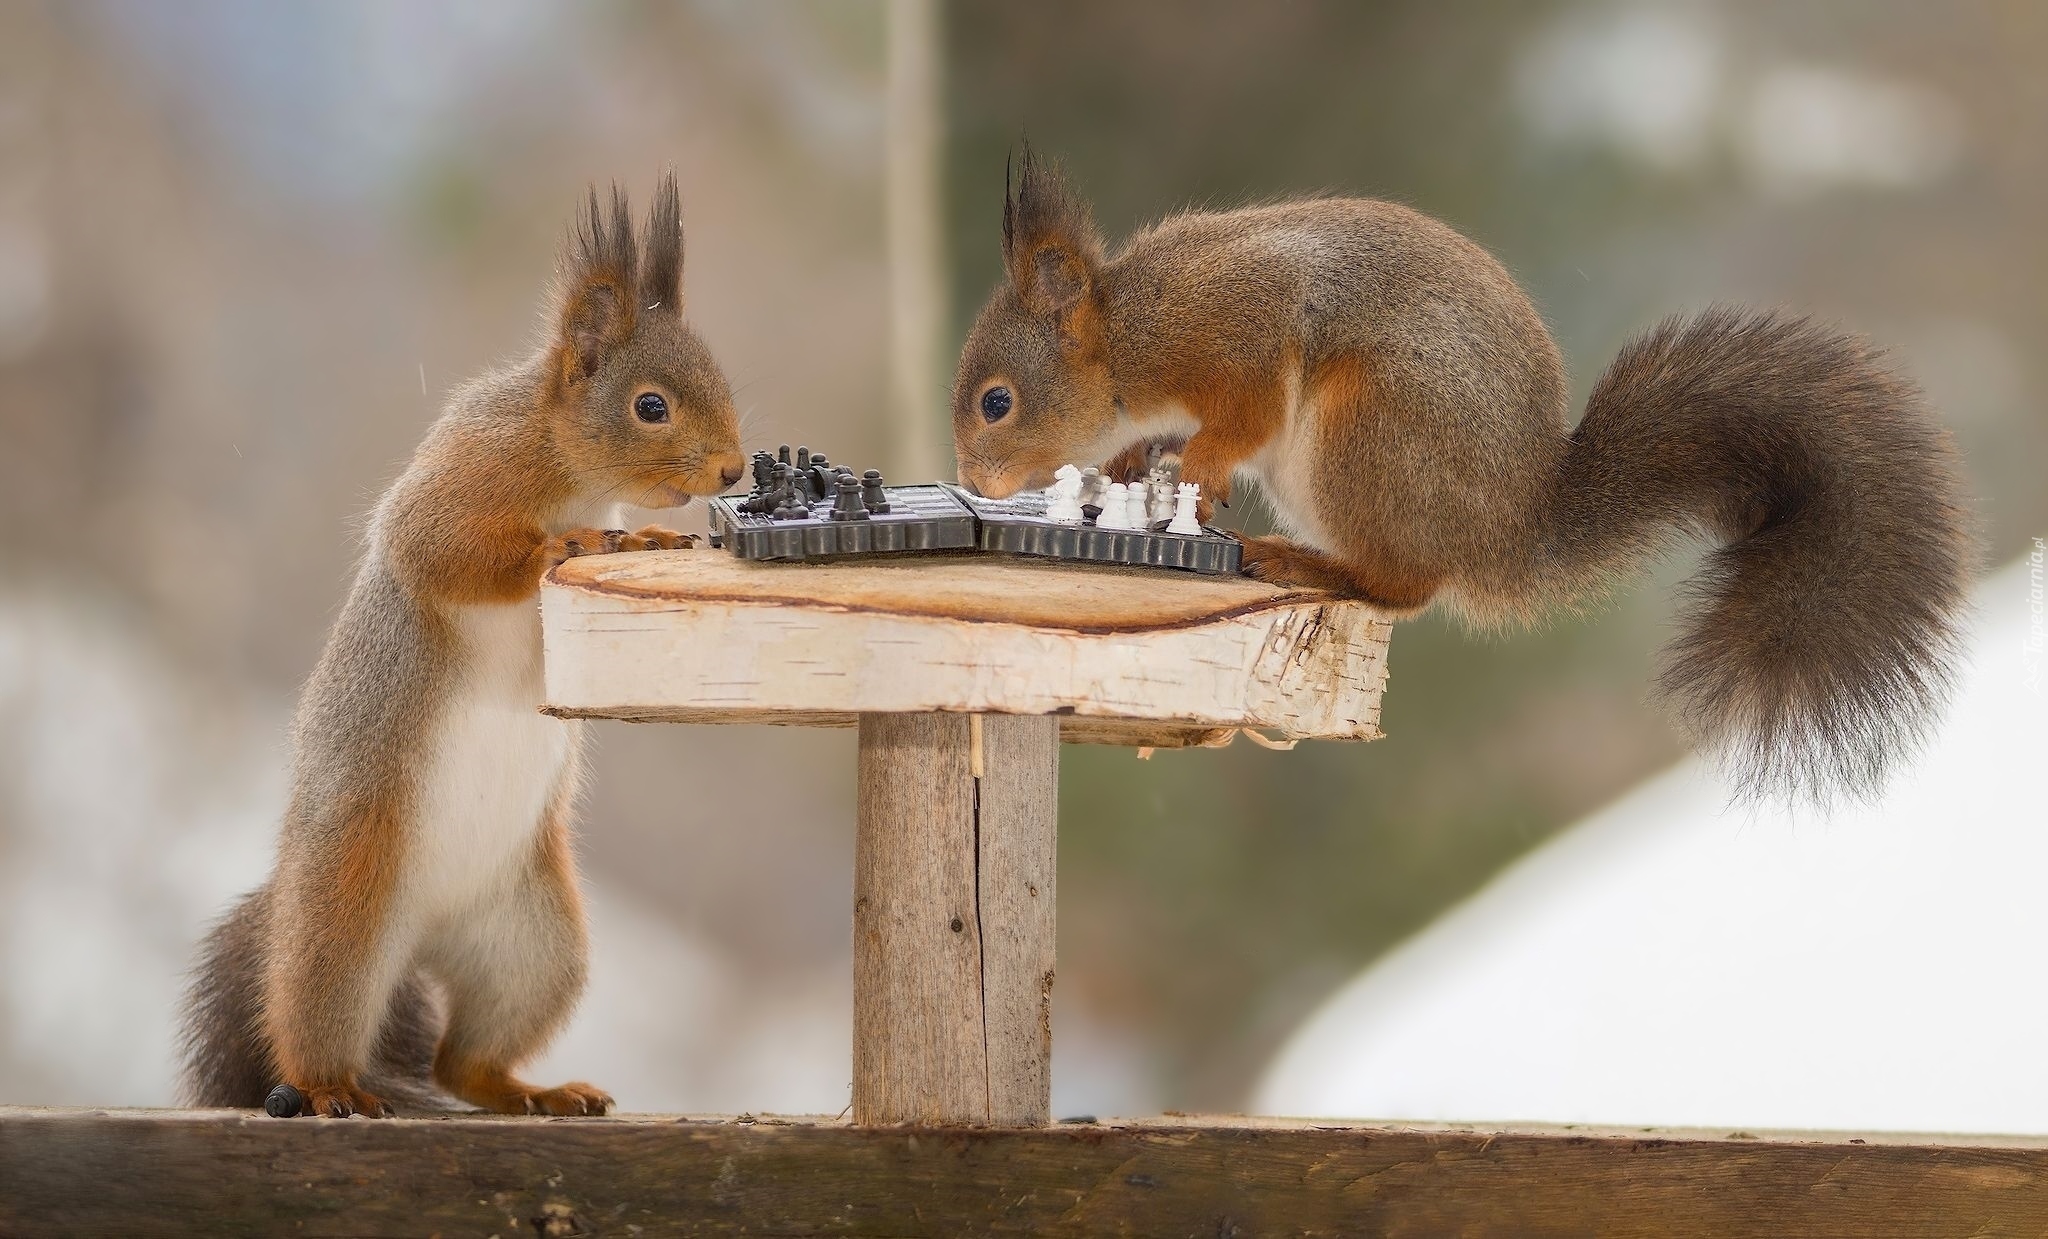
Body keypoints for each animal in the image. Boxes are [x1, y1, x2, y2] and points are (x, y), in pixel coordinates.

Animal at [180, 174, 745, 1114]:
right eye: (650, 406)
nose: (735, 469)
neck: (563, 462)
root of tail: (423, 937)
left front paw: (641, 541)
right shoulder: (464, 472)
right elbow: (438, 547)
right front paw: (565, 545)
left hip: (534, 941)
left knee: (462, 1062)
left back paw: (534, 1091)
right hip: (346, 909)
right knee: (310, 1013)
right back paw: (328, 1085)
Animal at [950, 147, 1974, 802]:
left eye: (997, 402)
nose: (976, 483)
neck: (1128, 335)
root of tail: (1511, 528)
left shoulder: (1237, 329)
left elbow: (1243, 410)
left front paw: (1198, 464)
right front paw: (1137, 462)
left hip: (1372, 429)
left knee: (1402, 586)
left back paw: (1304, 561)